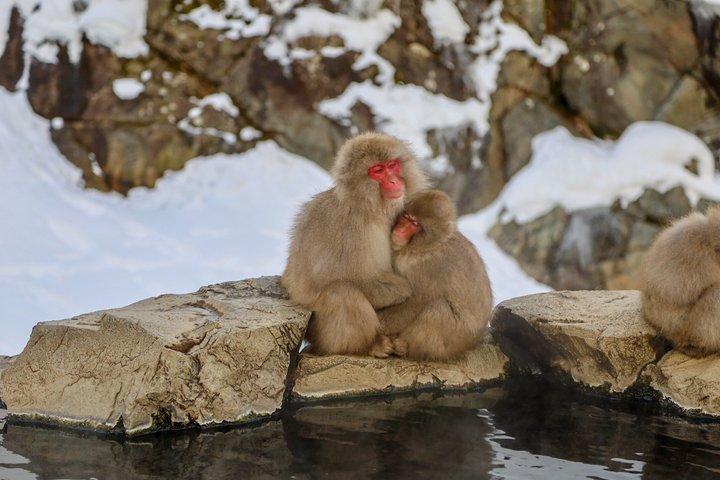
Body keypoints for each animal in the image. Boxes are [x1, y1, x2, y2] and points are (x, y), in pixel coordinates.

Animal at [281, 132, 429, 357]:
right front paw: (404, 290)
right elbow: (345, 277)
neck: (370, 208)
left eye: (392, 165)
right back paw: (366, 346)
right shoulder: (347, 227)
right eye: (378, 170)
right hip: (318, 332)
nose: (394, 180)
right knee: (342, 292)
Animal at [378, 189, 494, 361]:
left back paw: (405, 348)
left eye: (415, 224)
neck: (425, 247)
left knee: (438, 308)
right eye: (407, 217)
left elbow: (417, 303)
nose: (400, 229)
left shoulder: (430, 268)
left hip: (455, 341)